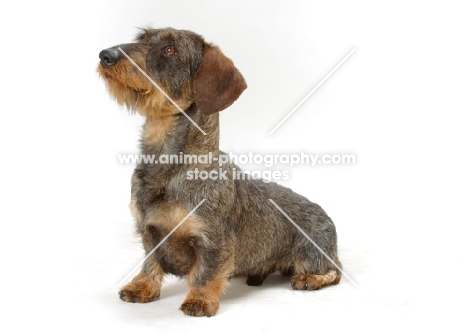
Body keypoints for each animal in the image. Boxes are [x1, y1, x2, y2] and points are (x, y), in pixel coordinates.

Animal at [98, 26, 340, 316]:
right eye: (141, 38)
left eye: (170, 49)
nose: (105, 55)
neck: (171, 167)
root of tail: (326, 216)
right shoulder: (148, 230)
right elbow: (150, 263)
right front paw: (143, 287)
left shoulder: (213, 239)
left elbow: (206, 272)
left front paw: (199, 299)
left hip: (311, 256)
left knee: (335, 272)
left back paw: (310, 279)